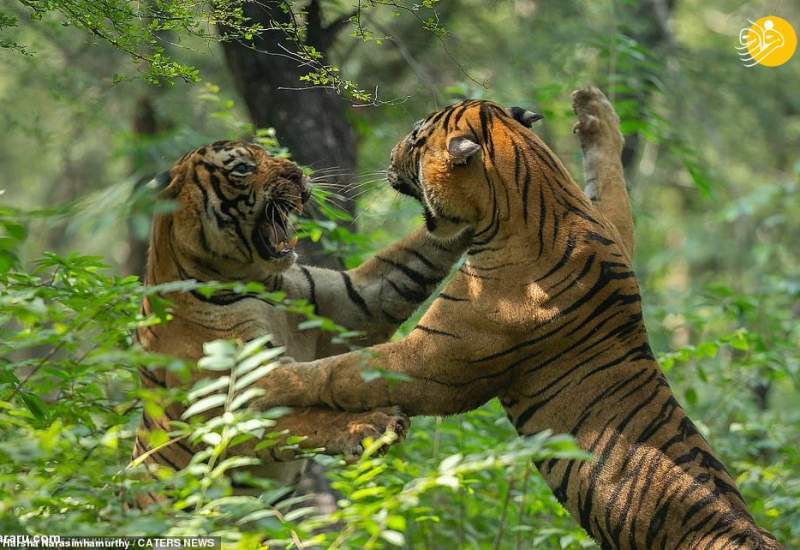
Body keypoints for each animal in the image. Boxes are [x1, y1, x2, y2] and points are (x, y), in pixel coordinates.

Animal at [132, 139, 472, 508]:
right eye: (242, 169)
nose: (297, 173)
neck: (258, 284)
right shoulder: (226, 408)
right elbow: (303, 419)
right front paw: (368, 425)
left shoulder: (356, 302)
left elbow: (416, 253)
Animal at [247, 88, 780, 548]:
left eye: (417, 136)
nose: (393, 150)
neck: (537, 192)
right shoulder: (614, 225)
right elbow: (612, 180)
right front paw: (593, 109)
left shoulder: (434, 363)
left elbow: (336, 372)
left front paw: (263, 382)